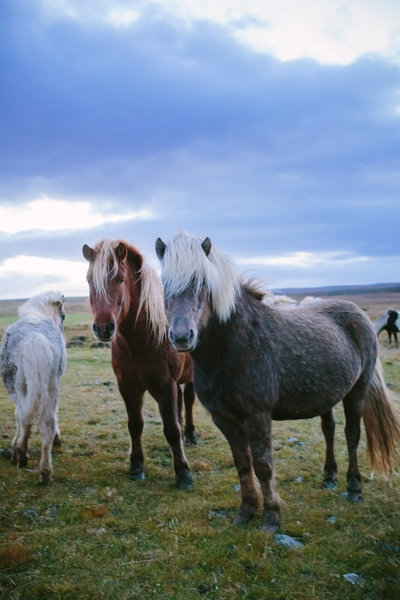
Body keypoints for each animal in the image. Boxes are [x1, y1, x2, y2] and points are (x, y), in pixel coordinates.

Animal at [0, 290, 66, 482]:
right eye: (64, 316)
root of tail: (34, 339)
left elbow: (18, 416)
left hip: (18, 386)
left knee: (24, 416)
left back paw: (20, 454)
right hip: (51, 385)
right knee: (47, 424)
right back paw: (45, 472)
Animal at [82, 237, 195, 490]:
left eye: (120, 279)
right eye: (89, 280)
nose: (103, 328)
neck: (141, 340)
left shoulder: (165, 386)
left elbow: (171, 428)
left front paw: (183, 472)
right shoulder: (128, 386)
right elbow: (135, 424)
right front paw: (136, 465)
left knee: (189, 401)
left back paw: (191, 435)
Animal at [156, 232, 400, 532]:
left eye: (202, 283)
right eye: (164, 283)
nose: (181, 337)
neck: (234, 344)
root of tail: (358, 313)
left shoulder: (258, 416)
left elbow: (263, 465)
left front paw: (271, 516)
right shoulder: (224, 419)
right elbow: (242, 463)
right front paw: (246, 511)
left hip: (358, 391)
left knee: (352, 435)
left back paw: (354, 489)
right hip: (327, 396)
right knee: (329, 430)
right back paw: (329, 476)